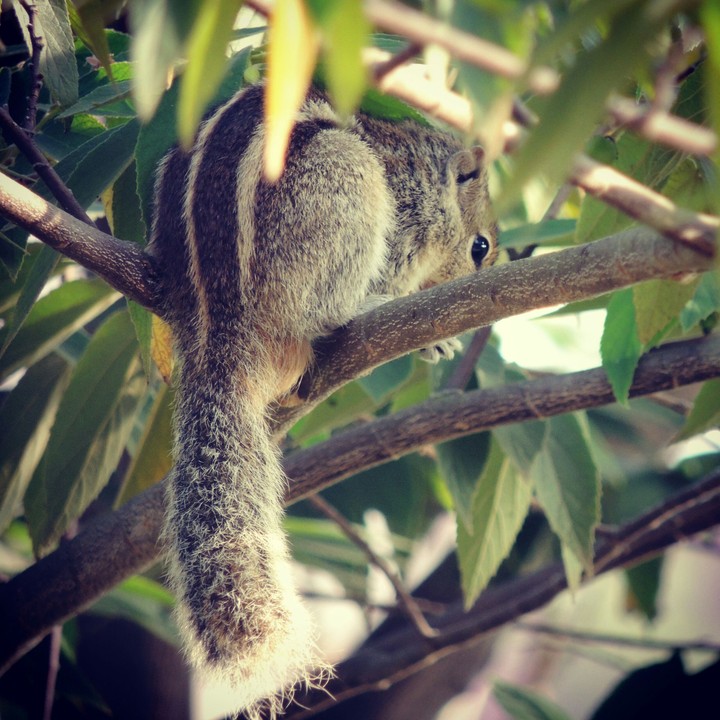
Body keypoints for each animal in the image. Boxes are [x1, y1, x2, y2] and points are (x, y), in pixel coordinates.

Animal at [148, 83, 497, 719]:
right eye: (480, 246)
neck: (423, 163)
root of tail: (217, 331)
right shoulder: (405, 221)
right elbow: (396, 267)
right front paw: (430, 332)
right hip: (342, 189)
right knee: (324, 309)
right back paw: (360, 310)